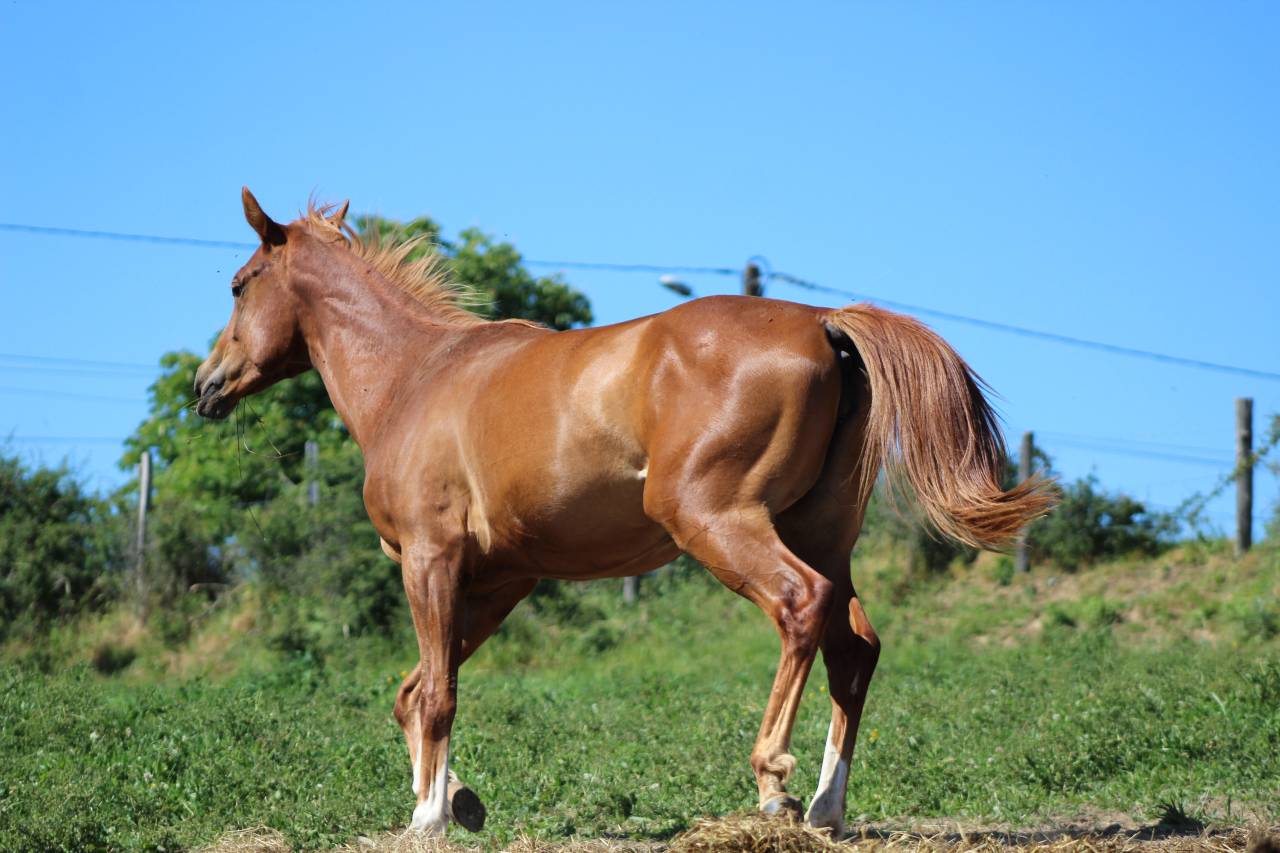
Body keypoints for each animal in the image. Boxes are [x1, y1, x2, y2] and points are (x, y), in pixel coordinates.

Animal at [194, 188, 1053, 837]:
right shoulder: (503, 576)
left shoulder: (433, 557)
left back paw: (773, 781)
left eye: (238, 283)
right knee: (856, 645)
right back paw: (824, 807)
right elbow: (416, 689)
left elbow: (436, 691)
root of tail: (823, 322)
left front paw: (429, 816)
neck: (417, 377)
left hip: (715, 519)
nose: (207, 384)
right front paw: (458, 800)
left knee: (799, 604)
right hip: (821, 531)